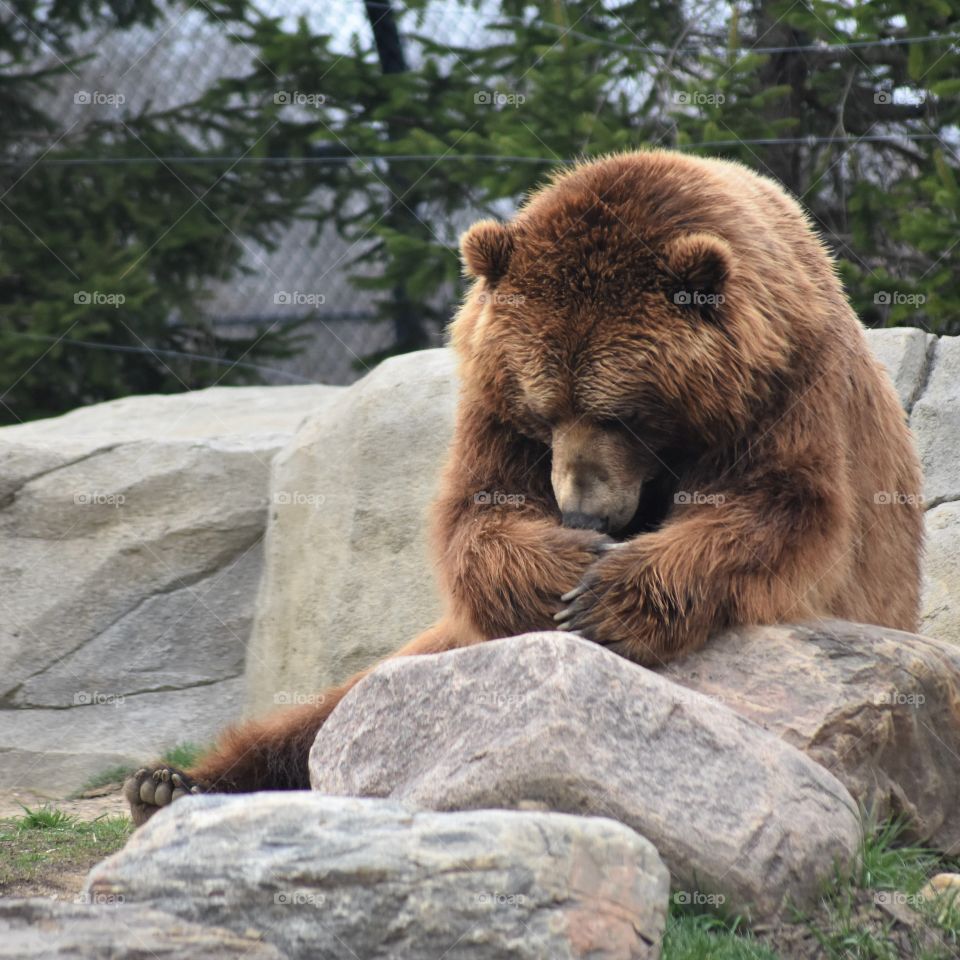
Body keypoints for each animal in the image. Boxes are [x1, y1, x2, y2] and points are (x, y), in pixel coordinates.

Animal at [125, 150, 924, 824]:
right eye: (544, 410)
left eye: (624, 413)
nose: (584, 512)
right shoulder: (492, 407)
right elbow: (479, 514)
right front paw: (562, 576)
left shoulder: (787, 390)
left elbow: (777, 510)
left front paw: (607, 597)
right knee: (337, 707)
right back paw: (169, 783)